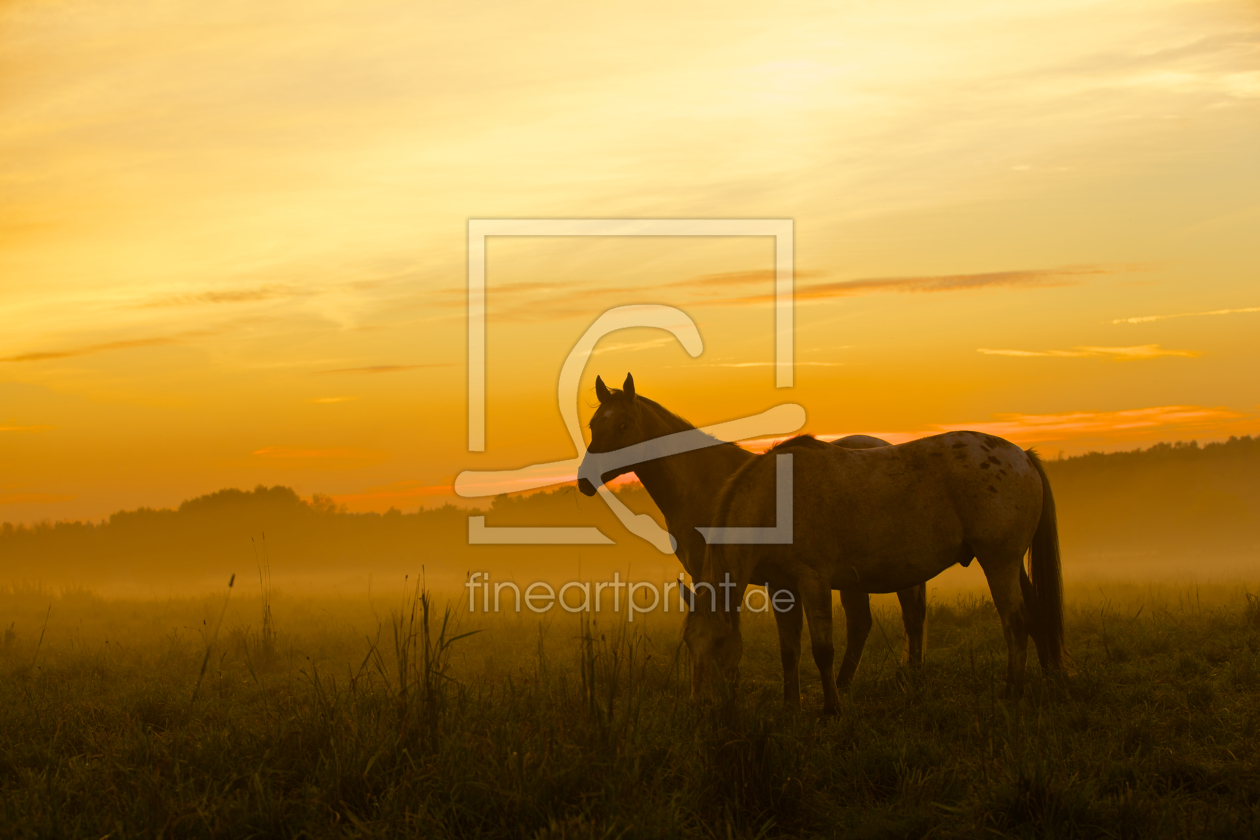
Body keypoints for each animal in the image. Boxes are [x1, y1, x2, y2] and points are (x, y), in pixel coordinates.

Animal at [577, 370, 932, 705]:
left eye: (623, 424)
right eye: (594, 424)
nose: (584, 480)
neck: (709, 486)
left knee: (911, 617)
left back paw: (910, 682)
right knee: (863, 622)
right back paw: (848, 686)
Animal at [685, 438, 1068, 715]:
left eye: (718, 644)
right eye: (688, 644)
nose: (700, 704)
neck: (774, 500)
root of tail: (1022, 456)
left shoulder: (813, 582)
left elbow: (822, 650)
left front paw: (832, 708)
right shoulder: (783, 588)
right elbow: (789, 650)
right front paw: (791, 707)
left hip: (999, 563)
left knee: (1015, 623)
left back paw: (1012, 692)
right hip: (1011, 564)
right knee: (1035, 617)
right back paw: (1049, 680)